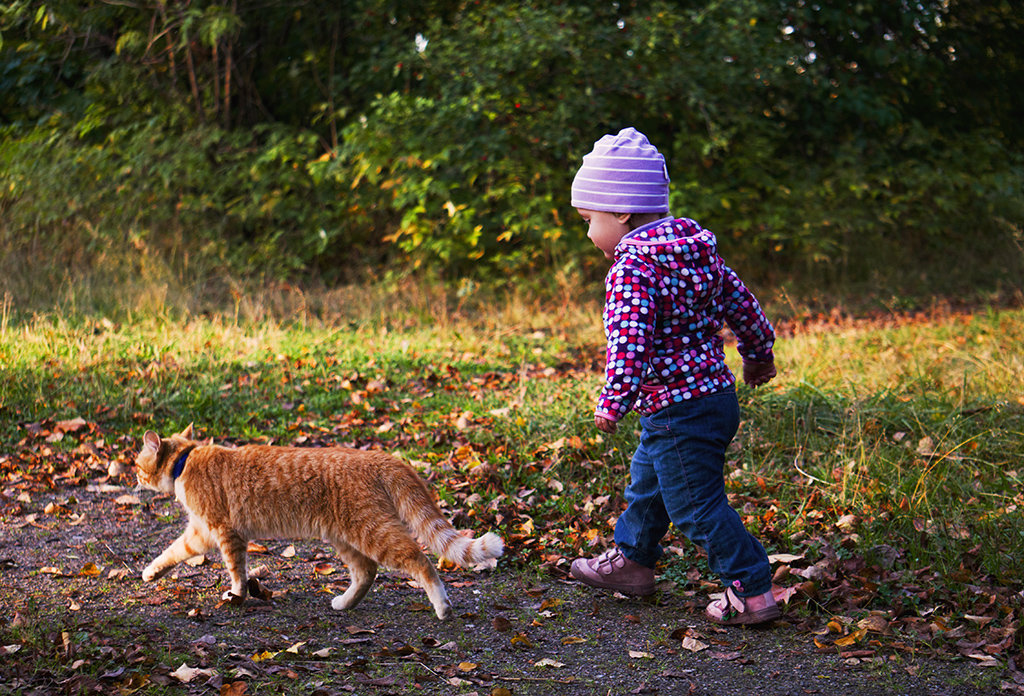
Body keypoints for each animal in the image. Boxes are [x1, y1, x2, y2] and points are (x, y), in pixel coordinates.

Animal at [136, 423, 503, 618]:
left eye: (137, 464)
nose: (134, 477)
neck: (185, 460)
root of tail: (381, 456)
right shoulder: (199, 533)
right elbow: (172, 551)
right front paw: (152, 572)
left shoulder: (225, 532)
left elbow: (236, 570)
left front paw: (237, 595)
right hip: (346, 536)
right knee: (366, 572)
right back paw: (344, 602)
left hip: (373, 531)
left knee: (420, 560)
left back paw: (441, 604)